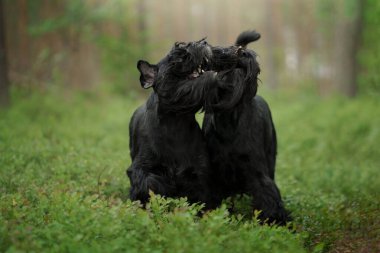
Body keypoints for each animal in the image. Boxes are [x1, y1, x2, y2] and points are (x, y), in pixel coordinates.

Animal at [127, 38, 217, 207]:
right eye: (177, 55)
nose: (204, 42)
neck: (175, 122)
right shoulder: (141, 169)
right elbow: (149, 184)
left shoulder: (199, 171)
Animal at [203, 30, 290, 224]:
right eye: (221, 51)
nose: (242, 52)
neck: (230, 117)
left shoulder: (256, 169)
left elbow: (267, 193)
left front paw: (274, 219)